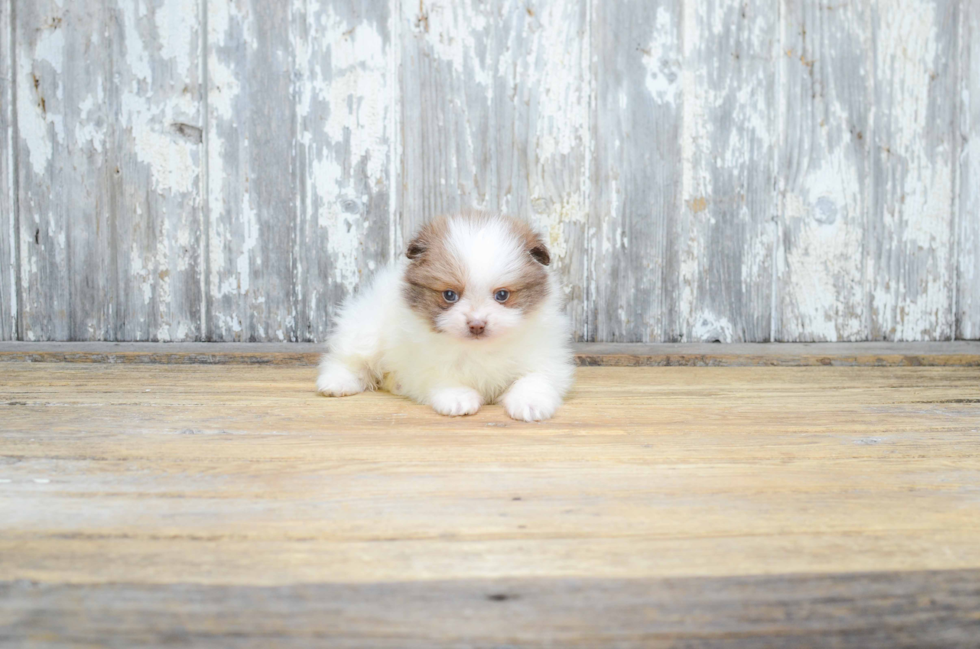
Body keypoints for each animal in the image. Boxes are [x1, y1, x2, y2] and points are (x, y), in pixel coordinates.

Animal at [314, 209, 576, 420]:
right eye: (450, 295)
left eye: (502, 295)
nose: (477, 324)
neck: (480, 348)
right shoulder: (425, 362)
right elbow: (444, 377)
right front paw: (458, 398)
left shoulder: (545, 357)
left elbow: (535, 378)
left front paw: (530, 403)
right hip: (366, 330)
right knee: (349, 360)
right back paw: (337, 382)